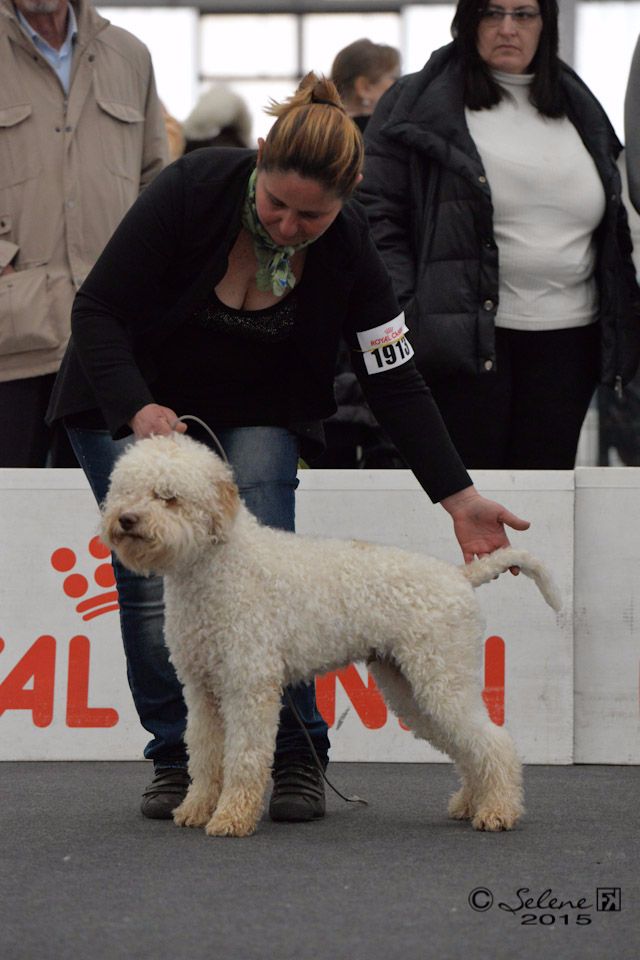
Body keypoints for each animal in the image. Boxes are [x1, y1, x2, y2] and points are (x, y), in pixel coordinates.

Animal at [100, 432, 560, 836]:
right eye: (125, 491)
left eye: (169, 497)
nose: (126, 520)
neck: (219, 565)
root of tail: (459, 576)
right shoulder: (202, 689)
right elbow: (205, 756)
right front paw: (195, 810)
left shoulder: (248, 685)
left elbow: (243, 758)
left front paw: (231, 818)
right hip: (410, 689)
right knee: (466, 747)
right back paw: (470, 803)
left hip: (442, 679)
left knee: (493, 742)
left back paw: (498, 812)